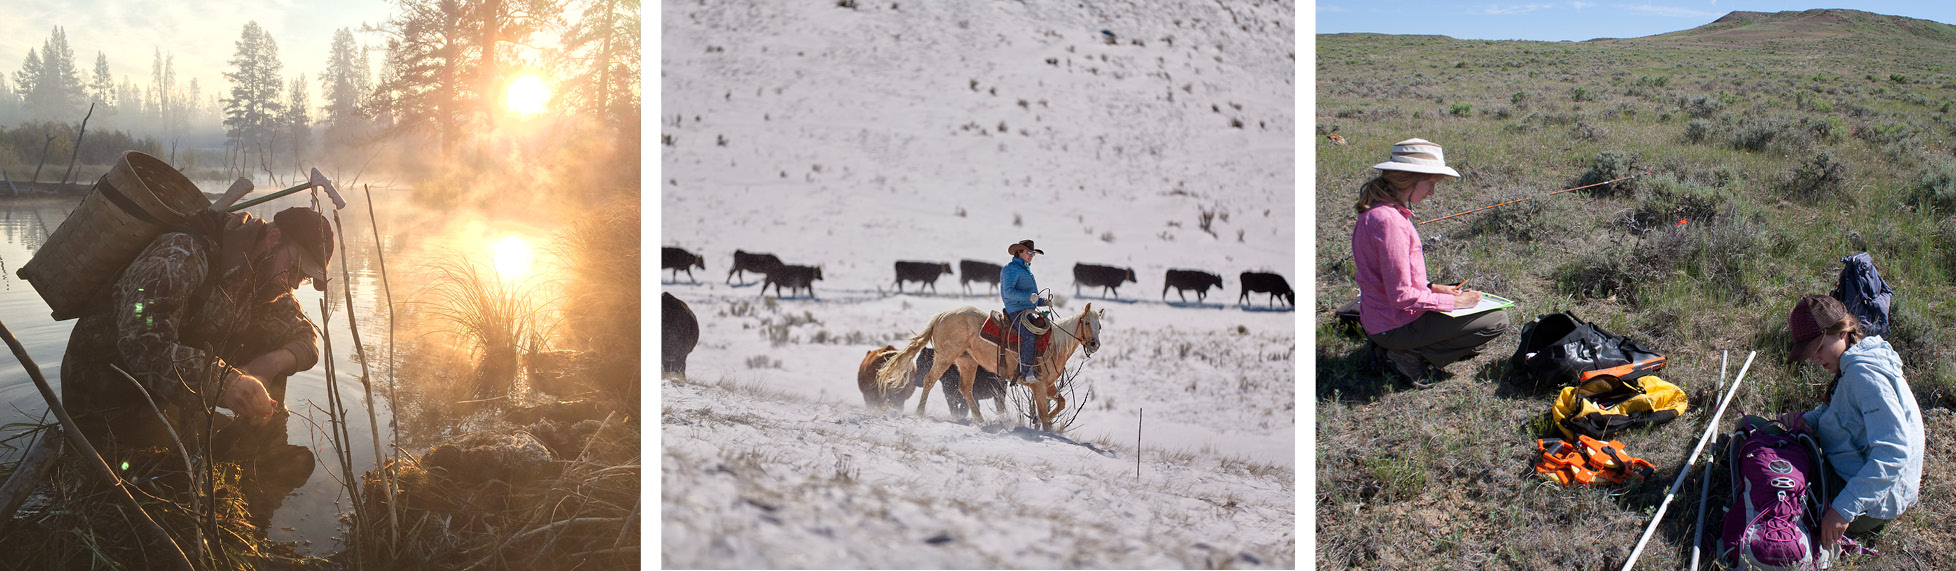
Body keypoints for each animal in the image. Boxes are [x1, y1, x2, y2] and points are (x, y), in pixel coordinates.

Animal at [876, 303, 1103, 428]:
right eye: (1087, 323)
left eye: (1099, 325)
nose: (1094, 344)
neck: (1052, 344)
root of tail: (943, 315)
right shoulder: (1038, 386)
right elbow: (1046, 417)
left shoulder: (1047, 385)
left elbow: (1061, 403)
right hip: (946, 357)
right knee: (930, 380)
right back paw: (921, 412)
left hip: (967, 362)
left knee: (965, 388)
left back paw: (979, 419)